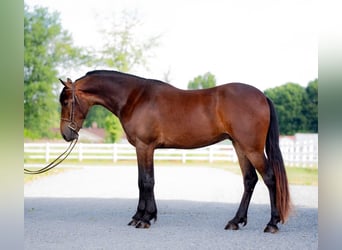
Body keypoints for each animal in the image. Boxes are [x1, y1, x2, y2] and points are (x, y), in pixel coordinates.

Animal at [59, 70, 292, 232]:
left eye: (67, 101)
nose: (66, 134)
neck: (134, 98)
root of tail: (262, 96)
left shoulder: (145, 147)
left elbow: (146, 181)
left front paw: (145, 219)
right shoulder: (143, 148)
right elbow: (142, 181)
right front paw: (140, 216)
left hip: (252, 149)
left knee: (270, 178)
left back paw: (272, 223)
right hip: (240, 146)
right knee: (249, 180)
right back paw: (235, 221)